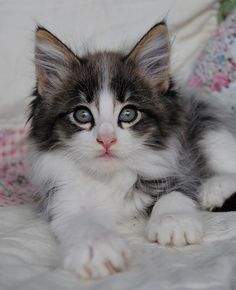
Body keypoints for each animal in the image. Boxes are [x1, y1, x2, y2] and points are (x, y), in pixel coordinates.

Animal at [28, 22, 236, 278]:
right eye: (82, 115)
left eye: (128, 114)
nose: (106, 140)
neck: (110, 177)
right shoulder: (63, 198)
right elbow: (81, 221)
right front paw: (97, 247)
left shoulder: (179, 162)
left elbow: (175, 190)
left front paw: (173, 221)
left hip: (210, 128)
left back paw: (212, 189)